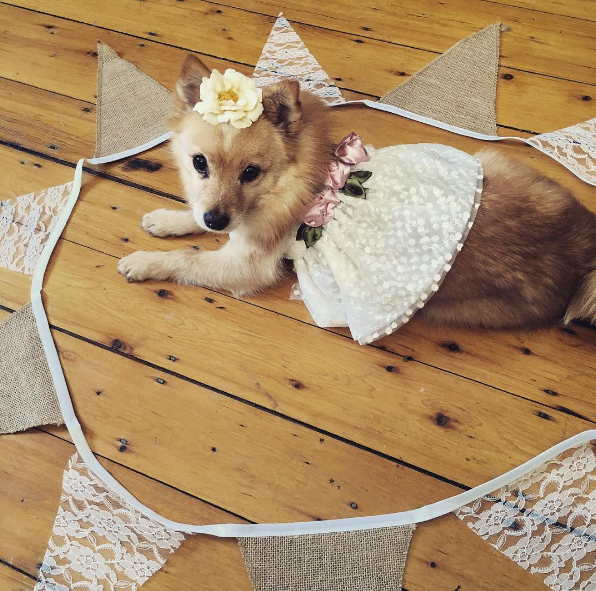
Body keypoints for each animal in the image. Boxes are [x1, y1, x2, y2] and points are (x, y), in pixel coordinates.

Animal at [117, 53, 596, 330]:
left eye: (251, 173)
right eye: (199, 163)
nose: (216, 218)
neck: (289, 181)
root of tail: (581, 248)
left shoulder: (245, 263)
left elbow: (186, 258)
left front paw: (145, 261)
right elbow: (192, 222)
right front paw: (170, 218)